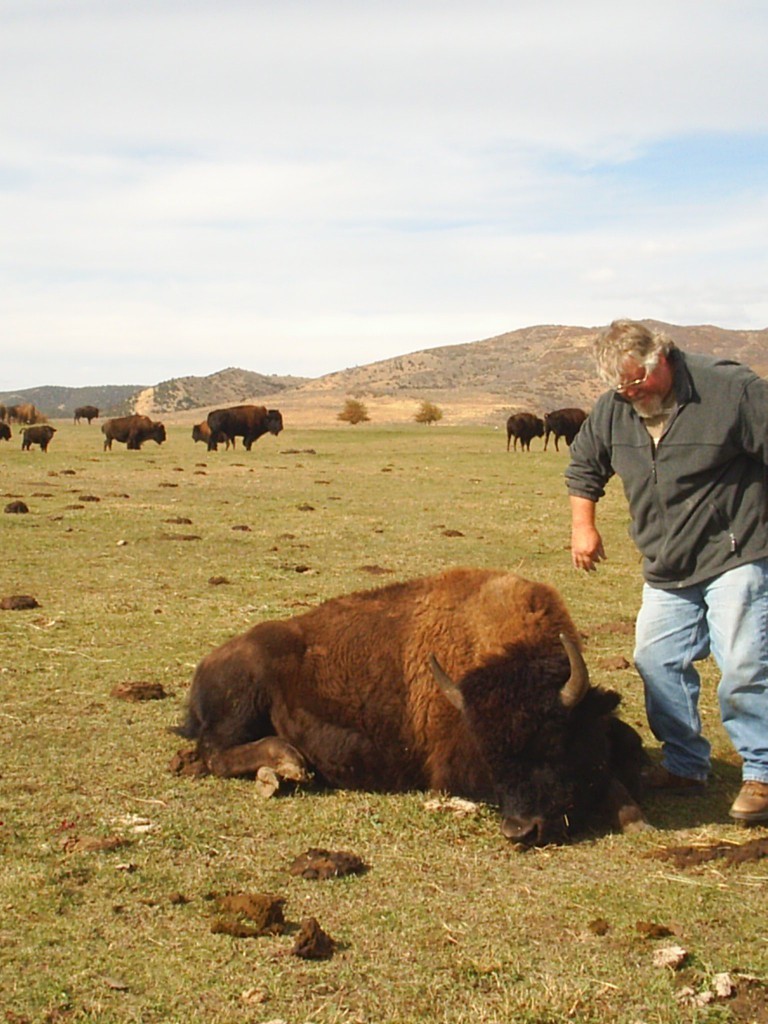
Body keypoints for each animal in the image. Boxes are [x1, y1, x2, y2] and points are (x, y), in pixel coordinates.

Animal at [176, 567, 647, 845]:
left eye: (552, 741)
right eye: (489, 754)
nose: (520, 830)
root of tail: (206, 664)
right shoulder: (451, 770)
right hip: (243, 701)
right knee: (214, 753)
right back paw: (287, 763)